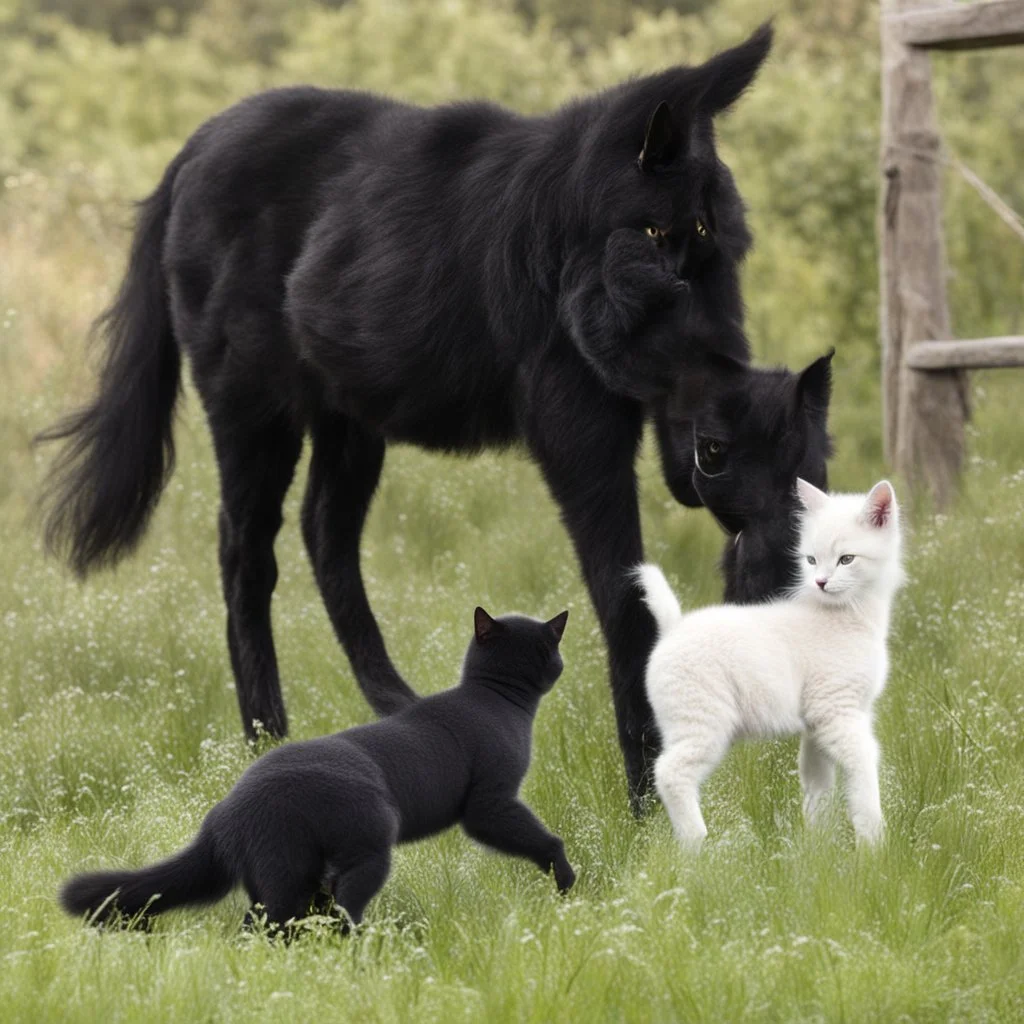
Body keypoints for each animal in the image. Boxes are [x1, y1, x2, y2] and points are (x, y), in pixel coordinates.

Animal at [59, 606, 577, 929]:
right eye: (549, 647)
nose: (555, 658)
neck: (494, 698)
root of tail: (224, 813)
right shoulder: (490, 804)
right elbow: (544, 839)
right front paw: (567, 880)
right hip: (348, 853)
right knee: (311, 916)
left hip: (286, 875)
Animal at [638, 479, 905, 847]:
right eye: (811, 559)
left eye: (846, 559)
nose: (820, 582)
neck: (848, 615)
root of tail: (674, 628)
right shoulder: (839, 713)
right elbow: (864, 772)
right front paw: (874, 845)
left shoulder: (817, 723)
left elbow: (816, 783)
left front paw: (818, 843)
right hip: (704, 724)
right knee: (668, 773)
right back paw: (697, 844)